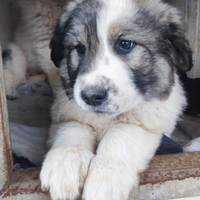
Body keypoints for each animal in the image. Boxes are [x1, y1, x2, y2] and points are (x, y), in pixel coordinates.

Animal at [39, 0, 192, 199]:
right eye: (79, 48)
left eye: (125, 44)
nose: (91, 96)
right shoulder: (65, 110)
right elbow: (74, 126)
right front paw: (65, 163)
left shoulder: (151, 120)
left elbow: (122, 131)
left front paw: (105, 179)